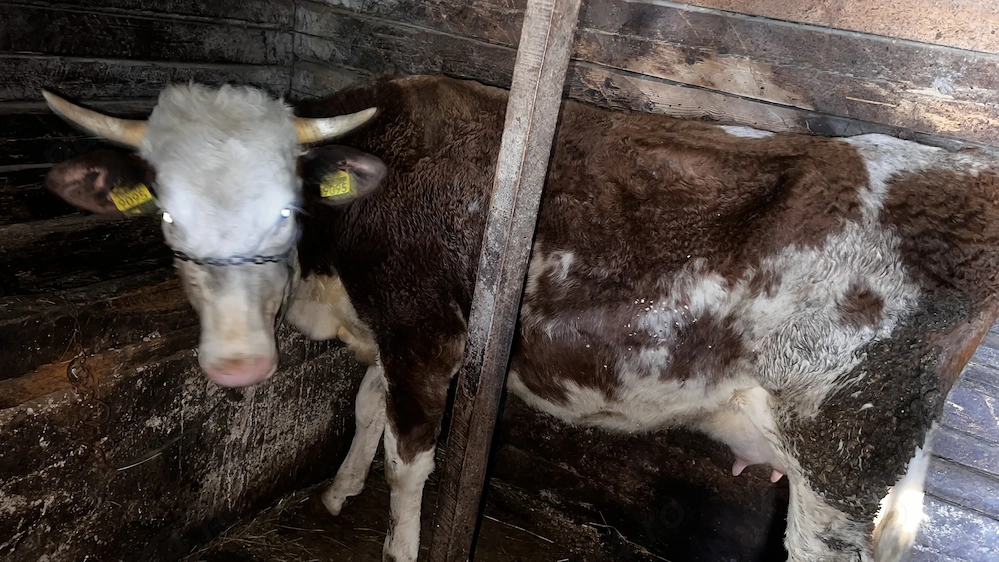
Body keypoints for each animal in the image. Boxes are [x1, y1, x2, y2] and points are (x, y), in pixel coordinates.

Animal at [40, 74, 999, 562]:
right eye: (166, 215)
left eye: (286, 209)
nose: (237, 366)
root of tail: (963, 178)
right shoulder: (388, 332)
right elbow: (362, 409)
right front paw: (337, 490)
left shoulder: (423, 333)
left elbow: (409, 461)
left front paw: (396, 543)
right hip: (892, 453)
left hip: (839, 449)